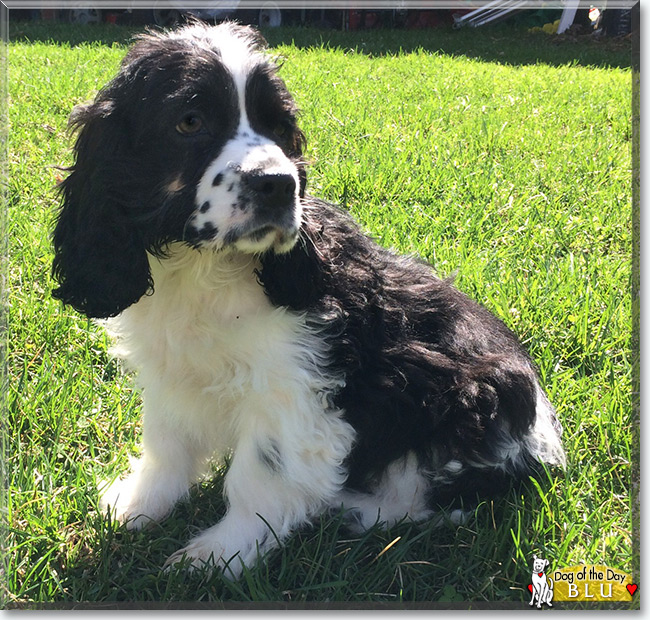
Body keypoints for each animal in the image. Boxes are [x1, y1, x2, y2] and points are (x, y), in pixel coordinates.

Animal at [53, 21, 564, 580]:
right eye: (190, 121)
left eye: (280, 126)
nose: (279, 184)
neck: (206, 269)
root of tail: (545, 442)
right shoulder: (173, 371)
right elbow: (167, 444)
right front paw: (137, 506)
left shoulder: (294, 385)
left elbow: (259, 475)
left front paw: (218, 554)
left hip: (473, 394)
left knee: (443, 494)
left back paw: (359, 509)